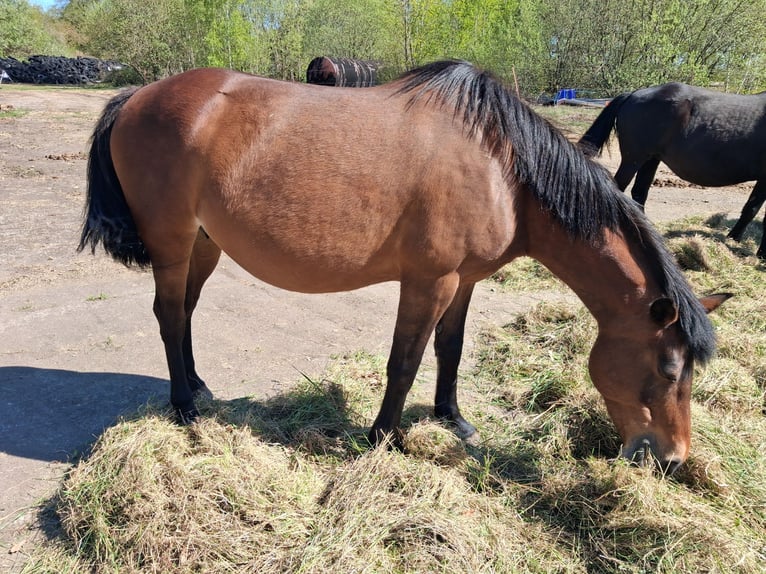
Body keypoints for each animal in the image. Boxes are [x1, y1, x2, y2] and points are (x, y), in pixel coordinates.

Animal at [79, 61, 729, 473]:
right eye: (670, 369)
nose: (673, 460)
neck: (504, 170)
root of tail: (136, 97)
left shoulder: (464, 281)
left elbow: (450, 349)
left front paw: (453, 420)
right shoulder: (429, 280)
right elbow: (405, 361)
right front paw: (384, 439)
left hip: (204, 243)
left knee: (186, 311)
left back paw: (197, 386)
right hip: (172, 240)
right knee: (168, 314)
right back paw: (184, 408)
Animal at [578, 82, 766, 258]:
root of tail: (633, 94)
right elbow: (753, 210)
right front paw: (755, 250)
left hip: (651, 159)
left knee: (639, 193)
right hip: (634, 159)